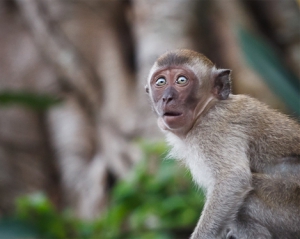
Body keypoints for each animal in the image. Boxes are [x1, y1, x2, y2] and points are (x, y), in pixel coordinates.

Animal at [145, 49, 300, 239]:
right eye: (161, 82)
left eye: (181, 80)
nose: (167, 97)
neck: (206, 109)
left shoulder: (214, 128)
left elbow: (232, 179)